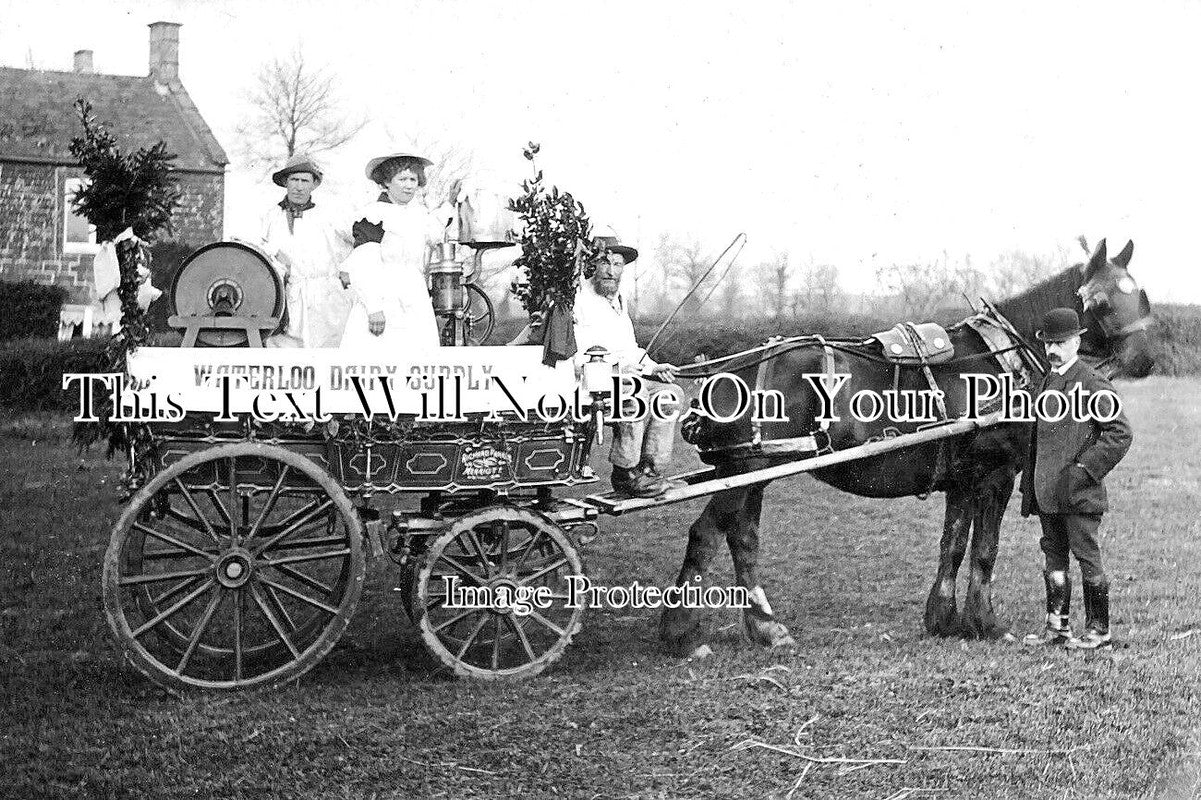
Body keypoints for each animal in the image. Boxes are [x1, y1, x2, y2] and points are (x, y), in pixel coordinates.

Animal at [662, 236, 1157, 653]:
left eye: (1141, 296)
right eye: (1104, 301)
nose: (1146, 359)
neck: (1000, 358)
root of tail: (728, 370)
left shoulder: (963, 479)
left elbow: (953, 545)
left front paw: (944, 620)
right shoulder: (994, 475)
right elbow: (985, 549)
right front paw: (985, 623)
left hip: (751, 472)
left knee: (742, 538)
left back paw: (765, 627)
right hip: (744, 474)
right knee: (706, 535)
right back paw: (683, 634)